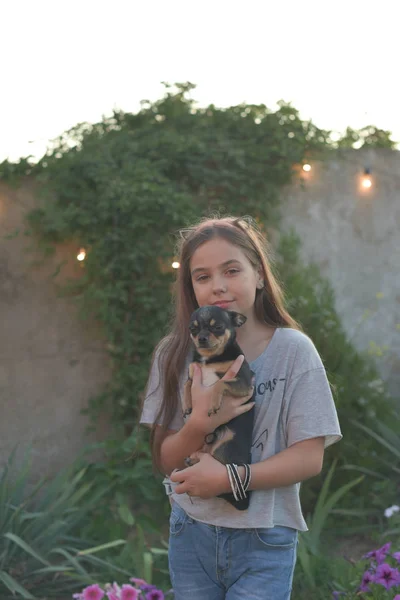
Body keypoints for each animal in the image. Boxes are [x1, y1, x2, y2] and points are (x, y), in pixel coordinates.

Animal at [183, 308, 255, 508]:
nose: (201, 338)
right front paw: (187, 404)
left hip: (223, 448)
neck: (209, 360)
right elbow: (186, 384)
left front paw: (214, 404)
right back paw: (192, 458)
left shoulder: (243, 383)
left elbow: (220, 384)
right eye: (193, 329)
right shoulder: (192, 373)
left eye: (218, 327)